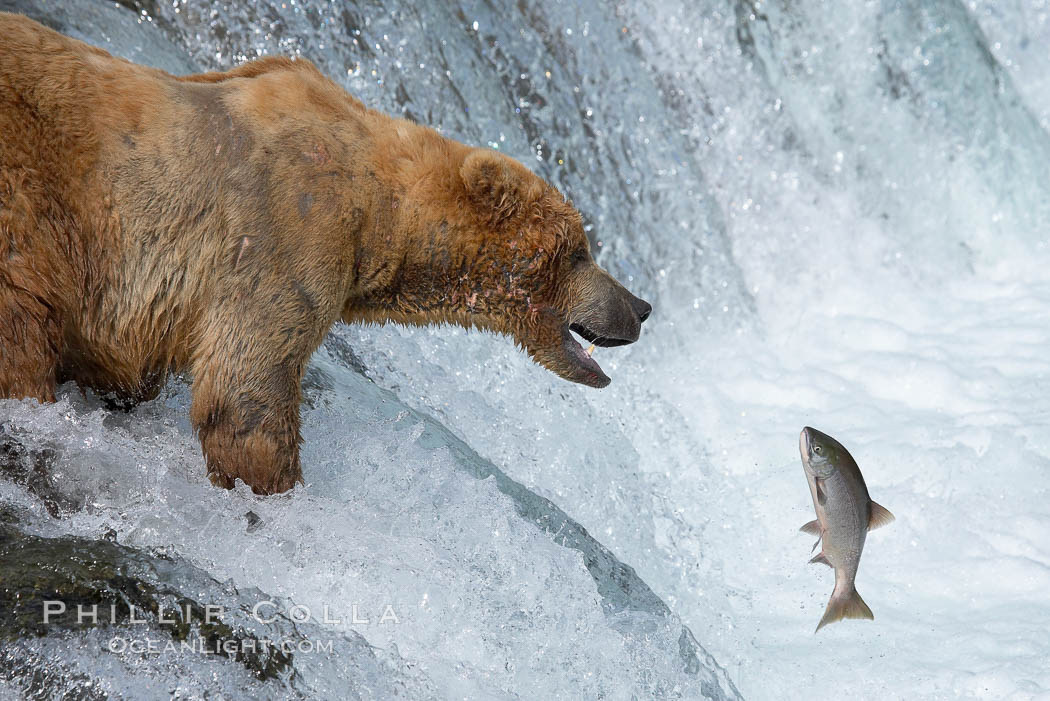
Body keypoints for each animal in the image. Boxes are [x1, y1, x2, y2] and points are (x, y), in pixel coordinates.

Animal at [2, 10, 646, 493]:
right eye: (579, 250)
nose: (640, 307)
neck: (380, 217)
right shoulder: (286, 231)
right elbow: (248, 386)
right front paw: (278, 487)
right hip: (32, 209)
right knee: (24, 327)